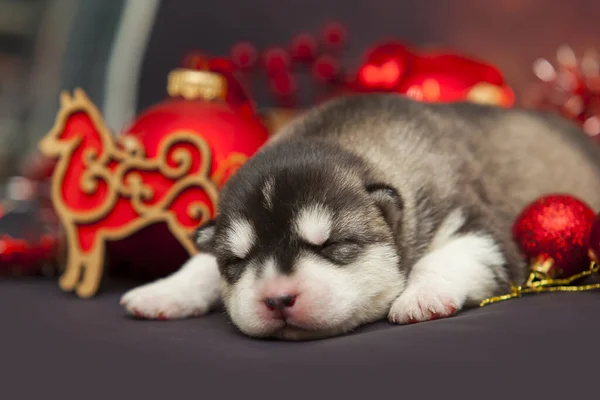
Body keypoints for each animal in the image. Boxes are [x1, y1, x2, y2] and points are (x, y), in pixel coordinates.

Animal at [119, 94, 600, 340]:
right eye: (236, 261)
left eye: (333, 245)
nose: (277, 299)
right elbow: (199, 265)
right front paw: (164, 291)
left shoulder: (483, 228)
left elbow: (444, 257)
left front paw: (420, 297)